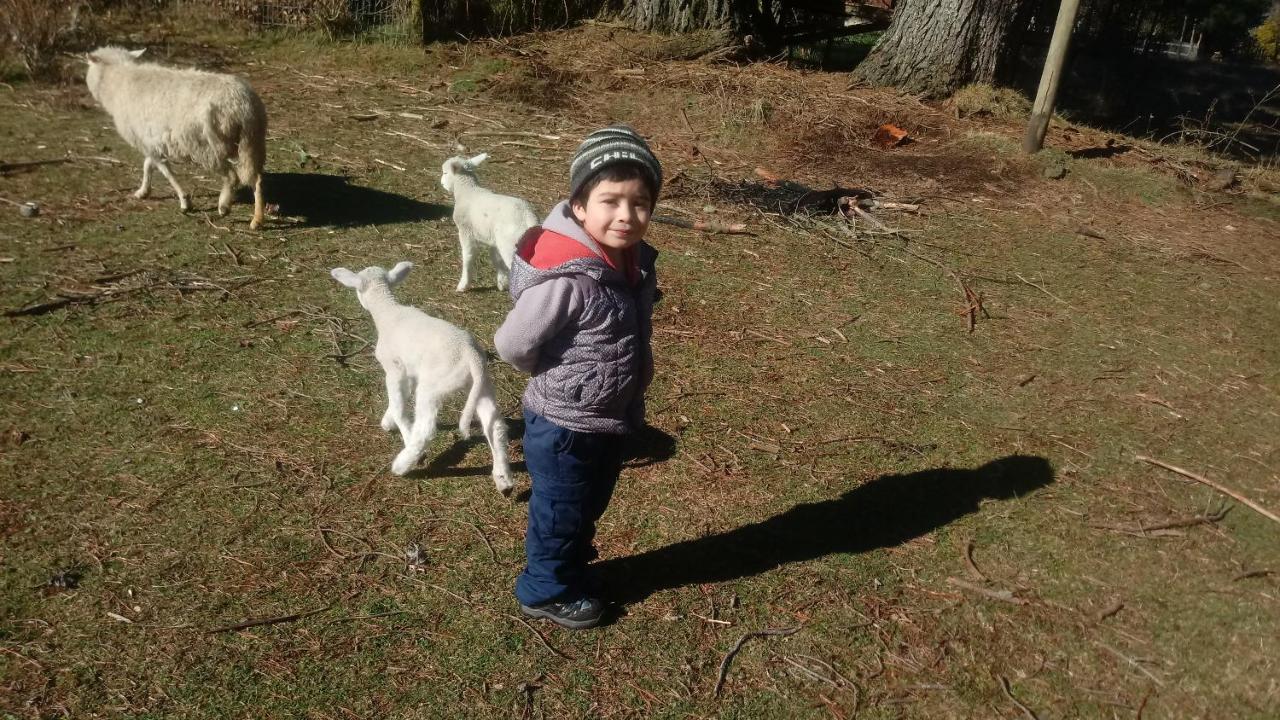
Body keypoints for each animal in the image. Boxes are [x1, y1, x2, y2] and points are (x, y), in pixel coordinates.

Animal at [85, 48, 267, 226]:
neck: (118, 81)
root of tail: (242, 106)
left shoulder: (147, 143)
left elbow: (166, 171)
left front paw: (185, 201)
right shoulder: (151, 143)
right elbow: (148, 165)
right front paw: (143, 191)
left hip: (210, 147)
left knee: (232, 176)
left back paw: (225, 206)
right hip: (251, 141)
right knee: (256, 178)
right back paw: (257, 219)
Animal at [330, 262, 514, 491]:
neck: (388, 311)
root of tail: (471, 355)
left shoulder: (395, 368)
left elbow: (399, 406)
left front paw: (401, 431)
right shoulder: (410, 372)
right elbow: (400, 399)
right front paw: (387, 421)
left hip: (433, 385)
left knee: (426, 428)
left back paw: (403, 463)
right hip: (481, 384)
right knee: (494, 423)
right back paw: (504, 479)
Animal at [440, 152, 540, 289]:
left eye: (445, 173)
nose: (441, 183)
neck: (467, 191)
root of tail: (528, 216)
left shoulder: (465, 231)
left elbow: (467, 256)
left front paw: (463, 284)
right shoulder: (492, 239)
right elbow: (496, 259)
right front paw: (502, 283)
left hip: (509, 244)